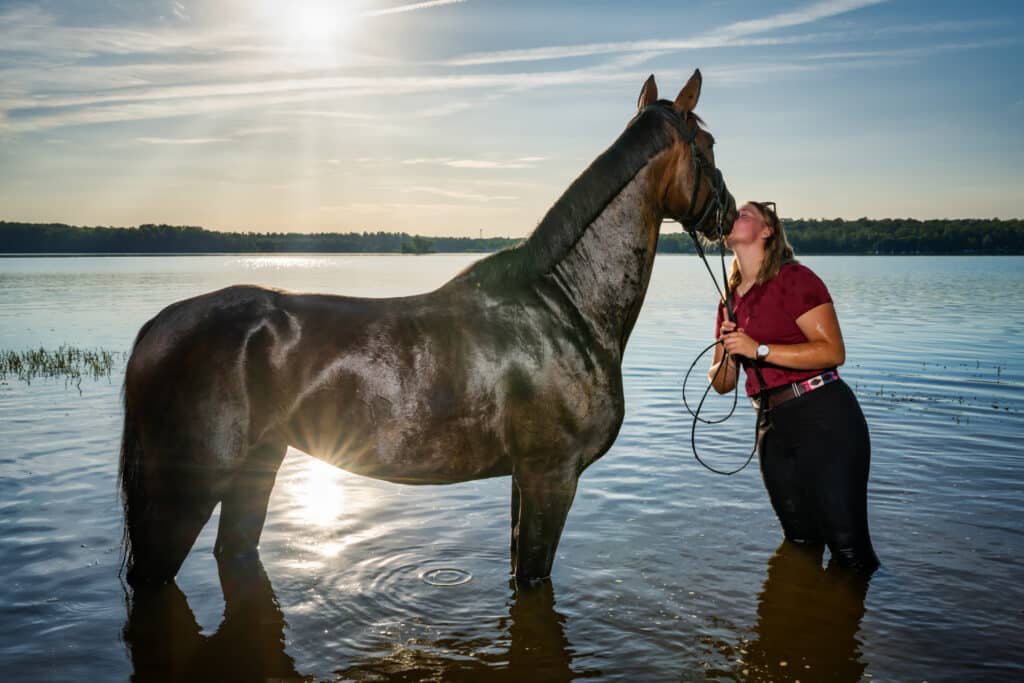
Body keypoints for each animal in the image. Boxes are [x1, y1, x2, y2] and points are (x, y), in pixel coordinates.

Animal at [121, 69, 737, 589]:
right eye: (708, 147)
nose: (731, 215)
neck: (565, 308)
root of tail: (158, 326)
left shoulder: (525, 481)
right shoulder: (552, 477)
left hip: (257, 468)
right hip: (187, 492)